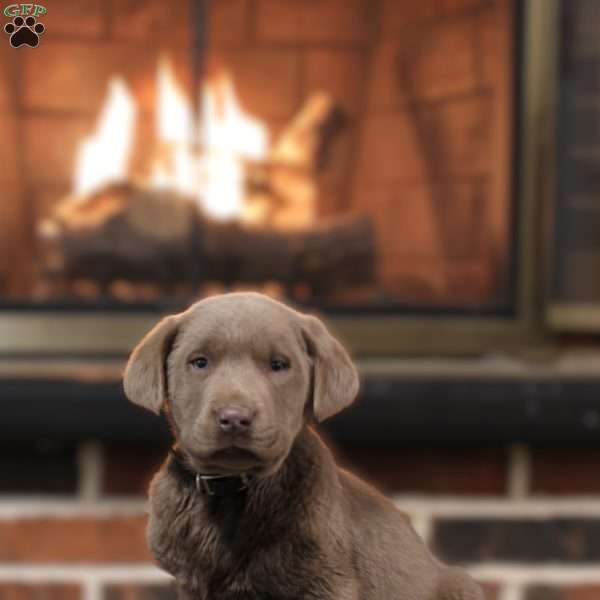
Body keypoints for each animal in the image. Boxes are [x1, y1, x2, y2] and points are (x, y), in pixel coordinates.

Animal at [124, 292, 486, 596]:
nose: (235, 418)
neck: (233, 492)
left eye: (278, 365)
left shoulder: (327, 579)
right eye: (199, 362)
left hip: (459, 584)